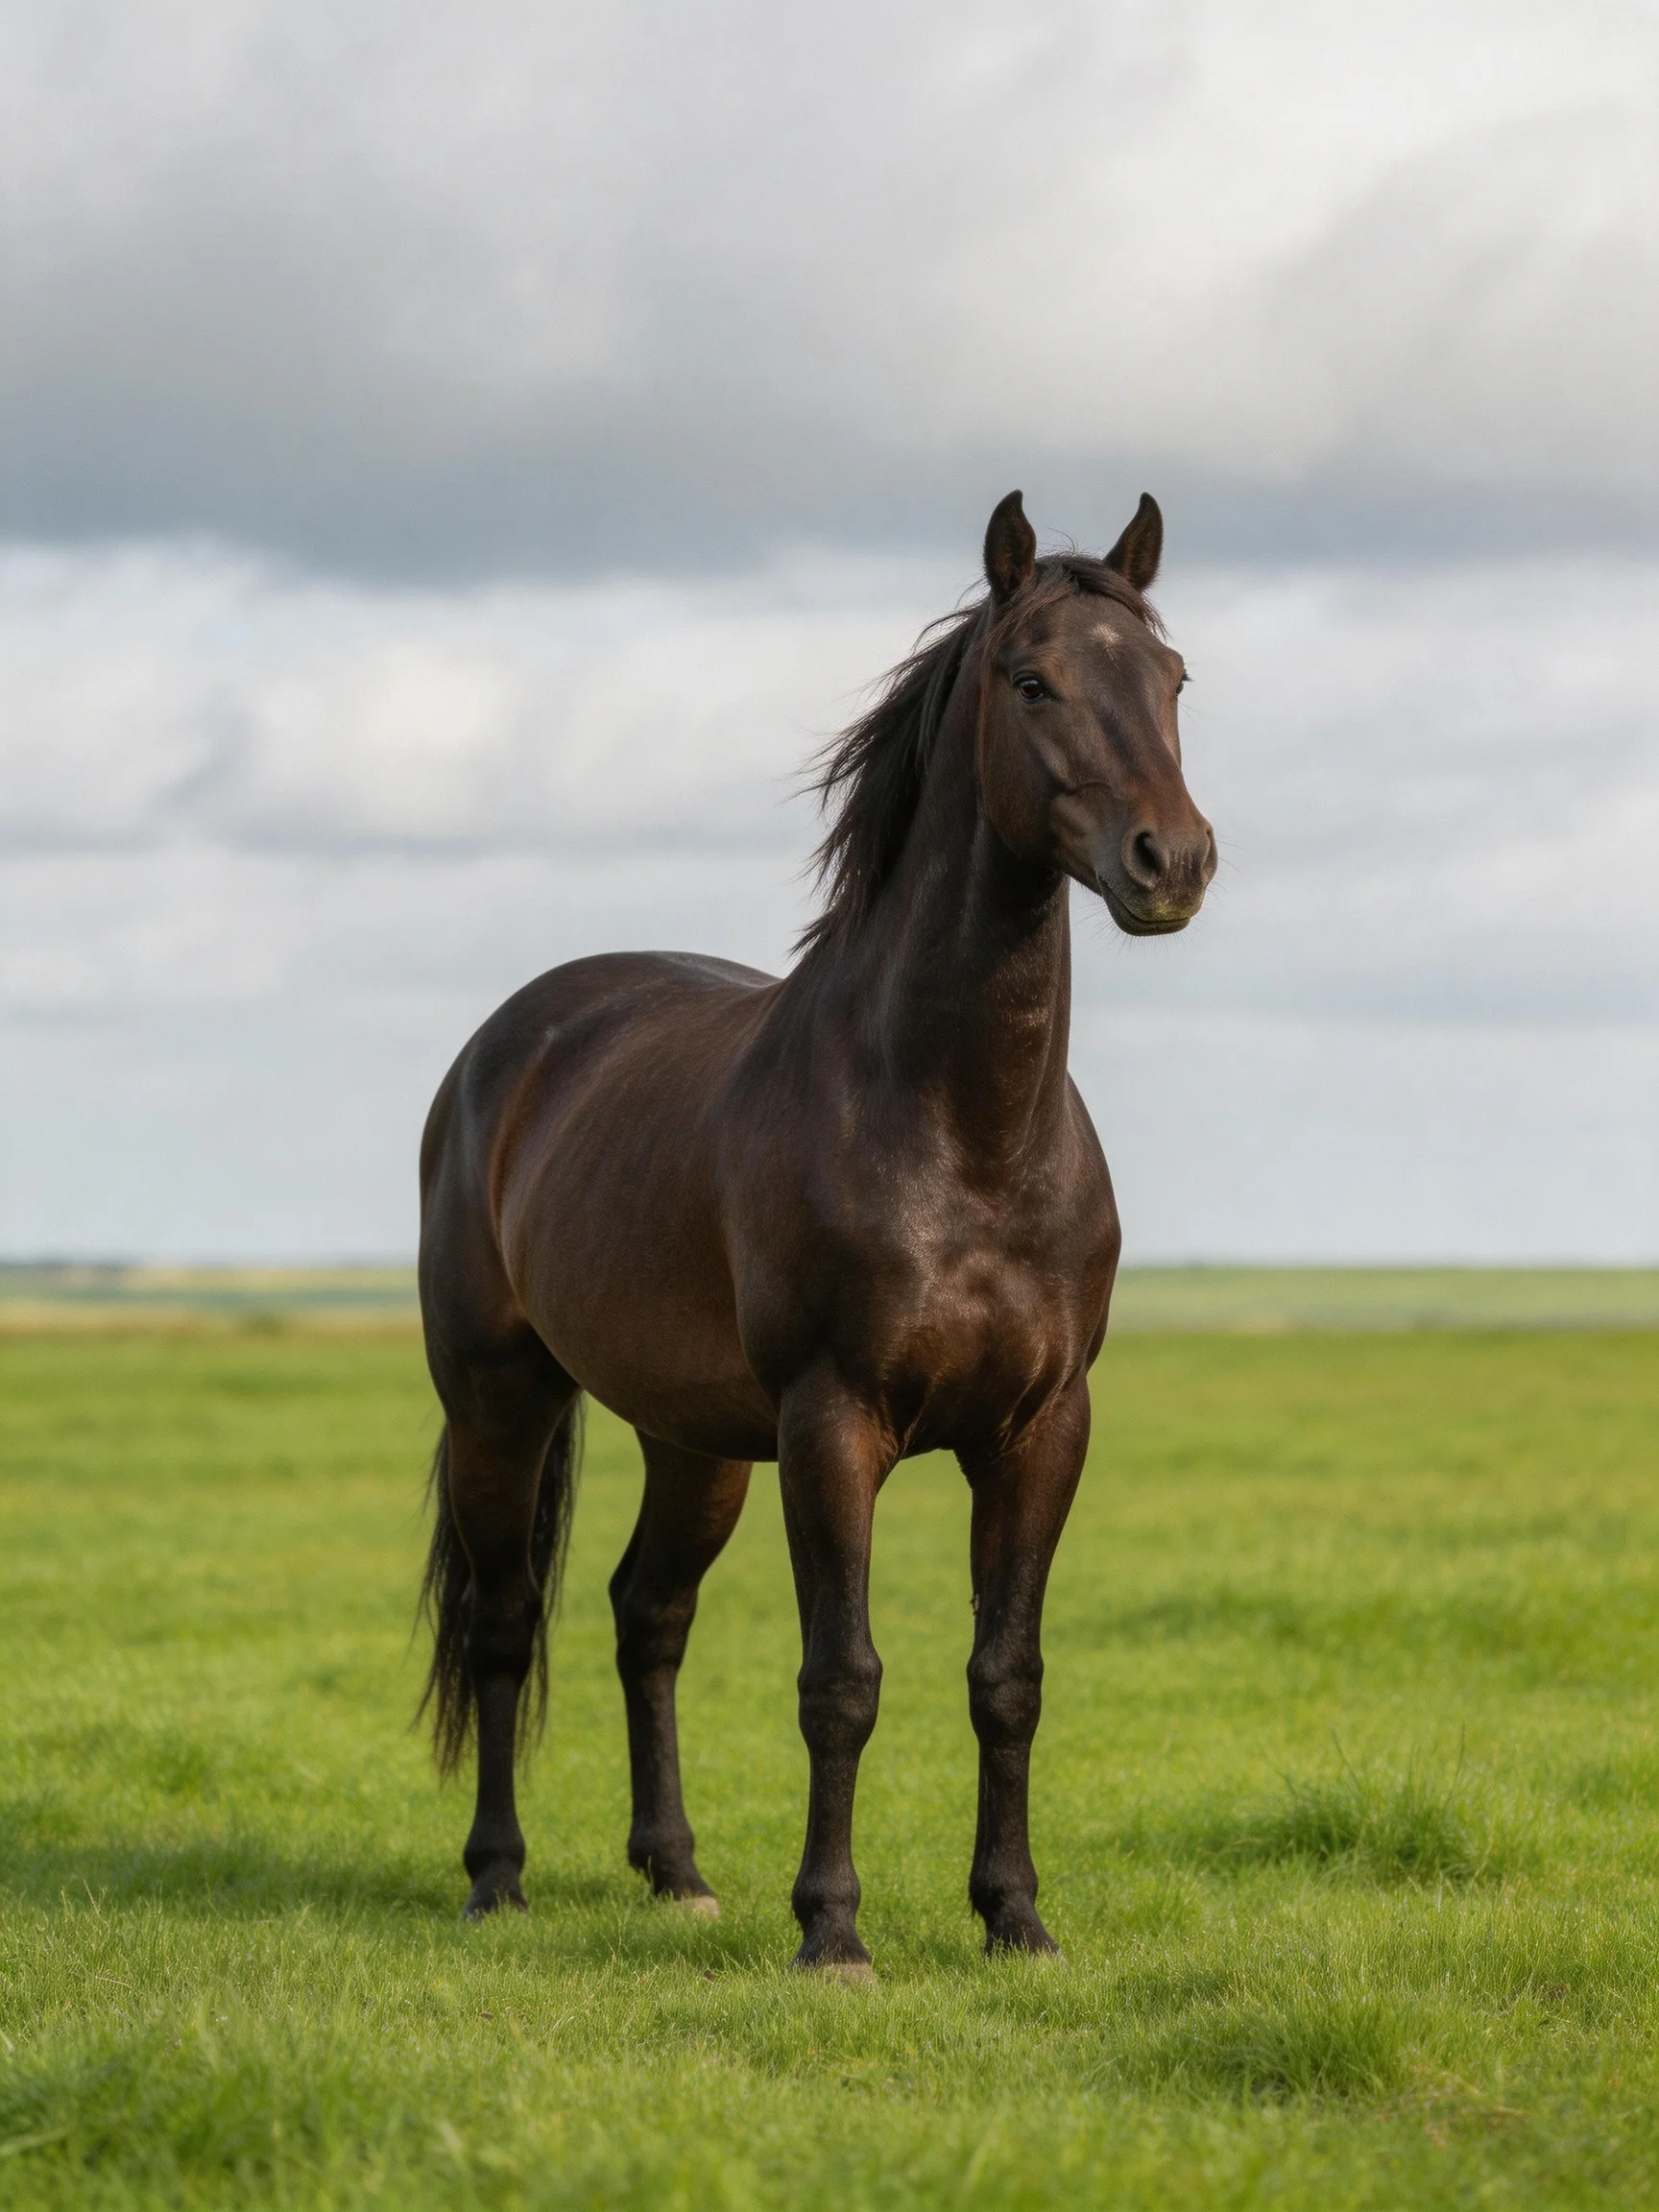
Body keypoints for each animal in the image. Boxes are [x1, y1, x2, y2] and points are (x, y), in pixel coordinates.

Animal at [417, 489, 1216, 1973]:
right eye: (1032, 680)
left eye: (1174, 678)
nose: (1172, 862)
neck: (963, 1131)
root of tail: (514, 1043)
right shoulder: (831, 1423)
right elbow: (841, 1678)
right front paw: (833, 1932)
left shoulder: (1041, 1431)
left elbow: (1007, 1677)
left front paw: (1015, 1916)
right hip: (503, 1399)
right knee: (506, 1623)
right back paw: (497, 1880)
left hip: (694, 1441)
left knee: (646, 1615)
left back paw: (678, 1873)